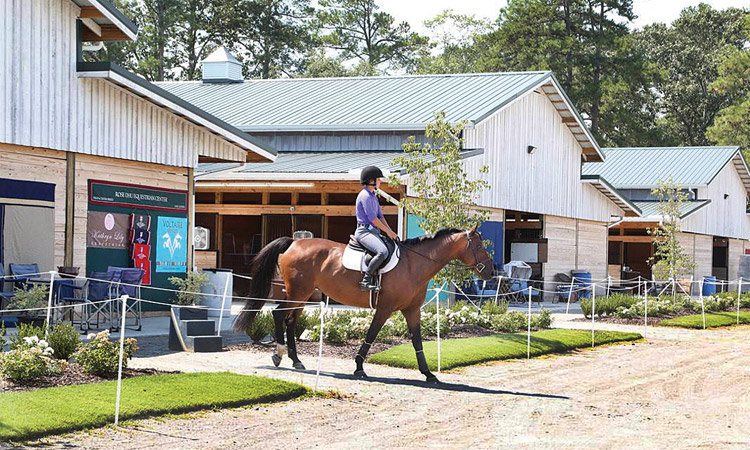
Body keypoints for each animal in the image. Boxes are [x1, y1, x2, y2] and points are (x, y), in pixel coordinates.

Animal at [234, 225, 494, 384]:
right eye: (479, 246)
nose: (490, 272)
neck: (414, 264)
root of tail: (293, 243)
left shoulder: (412, 310)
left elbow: (417, 341)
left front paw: (428, 374)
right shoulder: (385, 309)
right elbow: (371, 335)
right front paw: (359, 367)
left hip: (303, 294)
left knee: (289, 320)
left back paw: (295, 360)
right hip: (299, 292)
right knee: (280, 315)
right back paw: (279, 356)